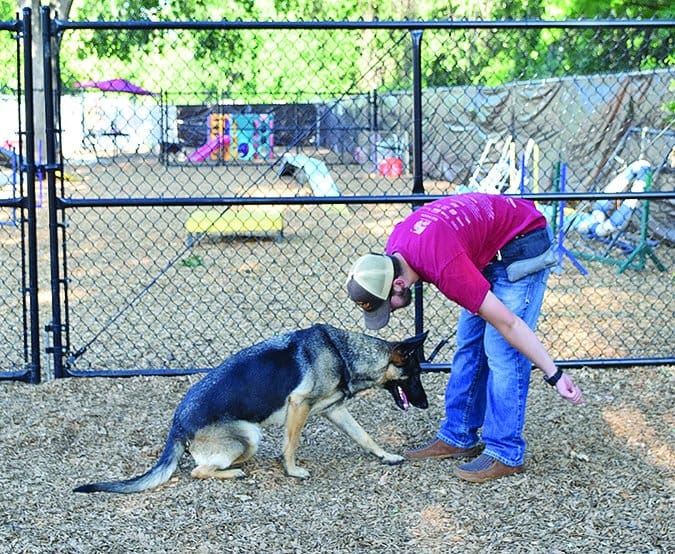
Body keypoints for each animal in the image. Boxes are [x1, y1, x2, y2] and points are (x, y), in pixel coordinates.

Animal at [75, 322, 428, 494]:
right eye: (415, 375)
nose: (424, 404)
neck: (343, 351)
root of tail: (177, 424)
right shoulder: (298, 404)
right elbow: (291, 444)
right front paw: (292, 470)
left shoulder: (334, 411)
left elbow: (364, 436)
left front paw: (387, 456)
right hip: (249, 436)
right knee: (199, 471)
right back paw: (233, 472)